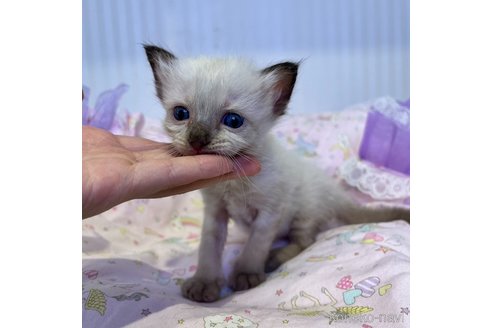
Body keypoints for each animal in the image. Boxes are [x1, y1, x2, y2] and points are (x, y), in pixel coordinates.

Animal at [144, 45, 410, 302]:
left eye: (233, 120)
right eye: (181, 114)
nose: (197, 141)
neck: (234, 181)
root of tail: (336, 192)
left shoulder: (269, 212)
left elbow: (255, 246)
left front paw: (246, 274)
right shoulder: (215, 213)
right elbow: (208, 248)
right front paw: (204, 284)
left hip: (304, 212)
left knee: (306, 242)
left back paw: (273, 258)